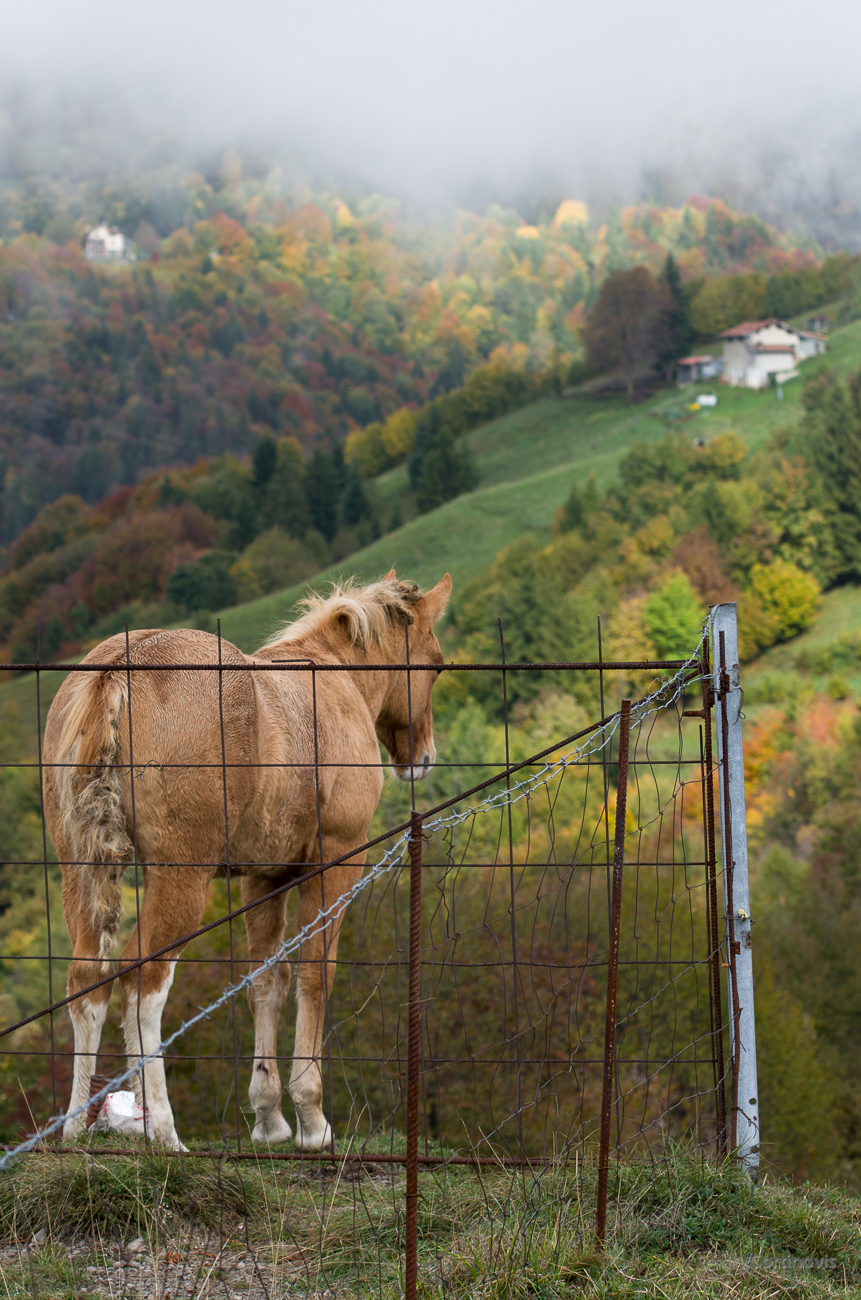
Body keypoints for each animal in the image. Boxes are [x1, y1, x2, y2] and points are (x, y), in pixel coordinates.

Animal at [42, 569, 452, 1149]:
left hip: (81, 870)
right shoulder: (335, 862)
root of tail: (121, 666)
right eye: (435, 664)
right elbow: (315, 974)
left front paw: (269, 1117)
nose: (422, 757)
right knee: (144, 983)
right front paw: (311, 1119)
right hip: (180, 879)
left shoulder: (264, 877)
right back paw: (163, 1131)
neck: (330, 678)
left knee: (86, 980)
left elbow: (266, 982)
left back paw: (77, 1129)